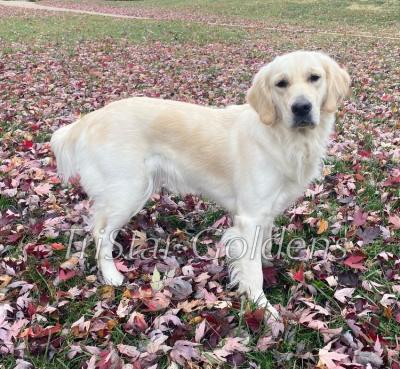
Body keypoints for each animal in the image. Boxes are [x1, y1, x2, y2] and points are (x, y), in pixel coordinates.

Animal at [50, 50, 350, 318]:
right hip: (129, 191)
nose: (301, 108)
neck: (284, 138)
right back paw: (111, 275)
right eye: (281, 83)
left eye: (314, 77)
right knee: (100, 232)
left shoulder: (266, 211)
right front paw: (263, 309)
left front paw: (267, 262)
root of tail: (91, 117)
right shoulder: (250, 217)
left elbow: (263, 245)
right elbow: (252, 271)